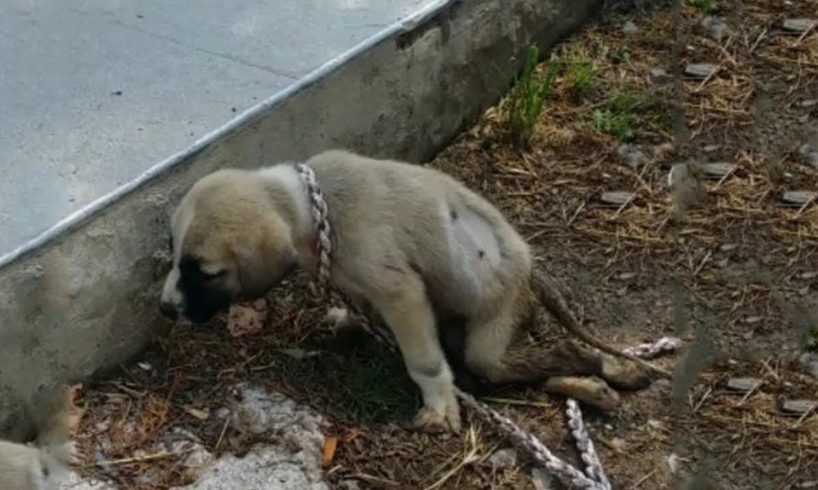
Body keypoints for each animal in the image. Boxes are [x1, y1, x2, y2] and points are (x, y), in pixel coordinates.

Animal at [159, 150, 652, 432]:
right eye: (172, 251)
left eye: (205, 271)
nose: (165, 309)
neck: (314, 206)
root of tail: (531, 271)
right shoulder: (361, 284)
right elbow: (361, 308)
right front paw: (349, 321)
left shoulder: (401, 292)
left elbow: (425, 362)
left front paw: (439, 406)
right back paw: (595, 385)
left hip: (491, 333)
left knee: (549, 351)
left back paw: (608, 370)